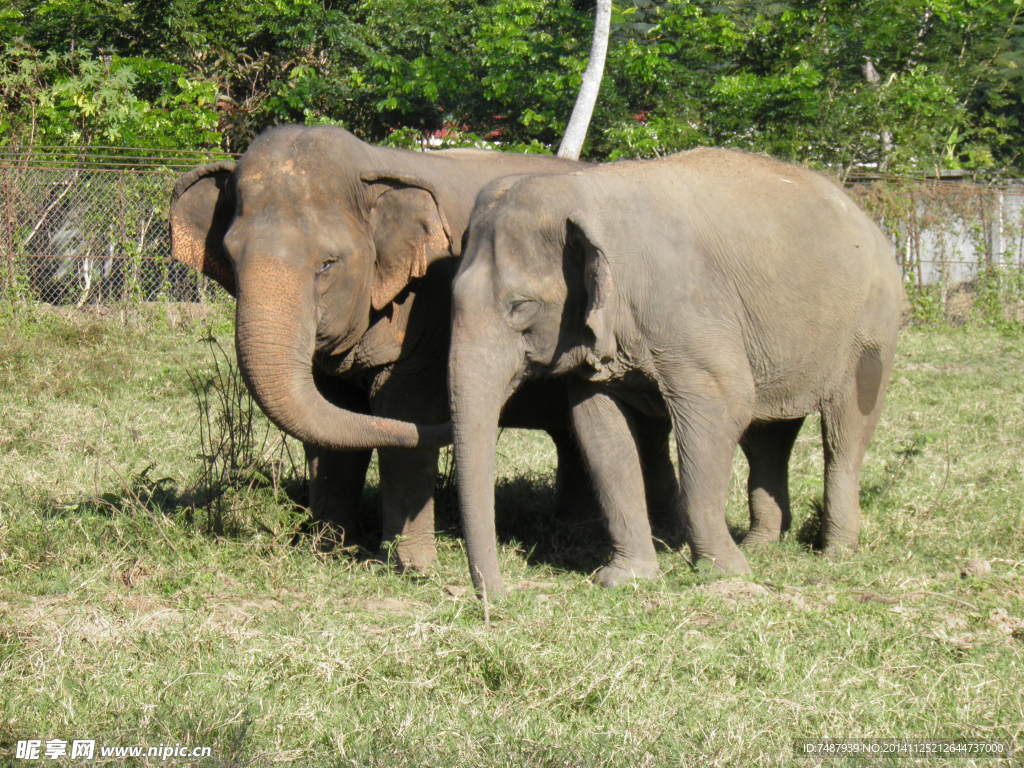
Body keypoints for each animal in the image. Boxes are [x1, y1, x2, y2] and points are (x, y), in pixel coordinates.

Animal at [169, 124, 678, 571]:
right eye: (230, 257)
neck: (375, 164)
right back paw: (573, 529)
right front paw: (329, 550)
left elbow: (402, 409)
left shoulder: (427, 310)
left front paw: (414, 566)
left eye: (327, 264)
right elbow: (333, 417)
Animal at [448, 148, 903, 598]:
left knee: (844, 434)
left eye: (520, 306)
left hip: (870, 332)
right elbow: (600, 431)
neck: (583, 191)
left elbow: (722, 408)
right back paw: (760, 544)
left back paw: (835, 552)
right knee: (767, 436)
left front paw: (722, 573)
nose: (501, 596)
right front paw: (626, 578)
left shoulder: (689, 313)